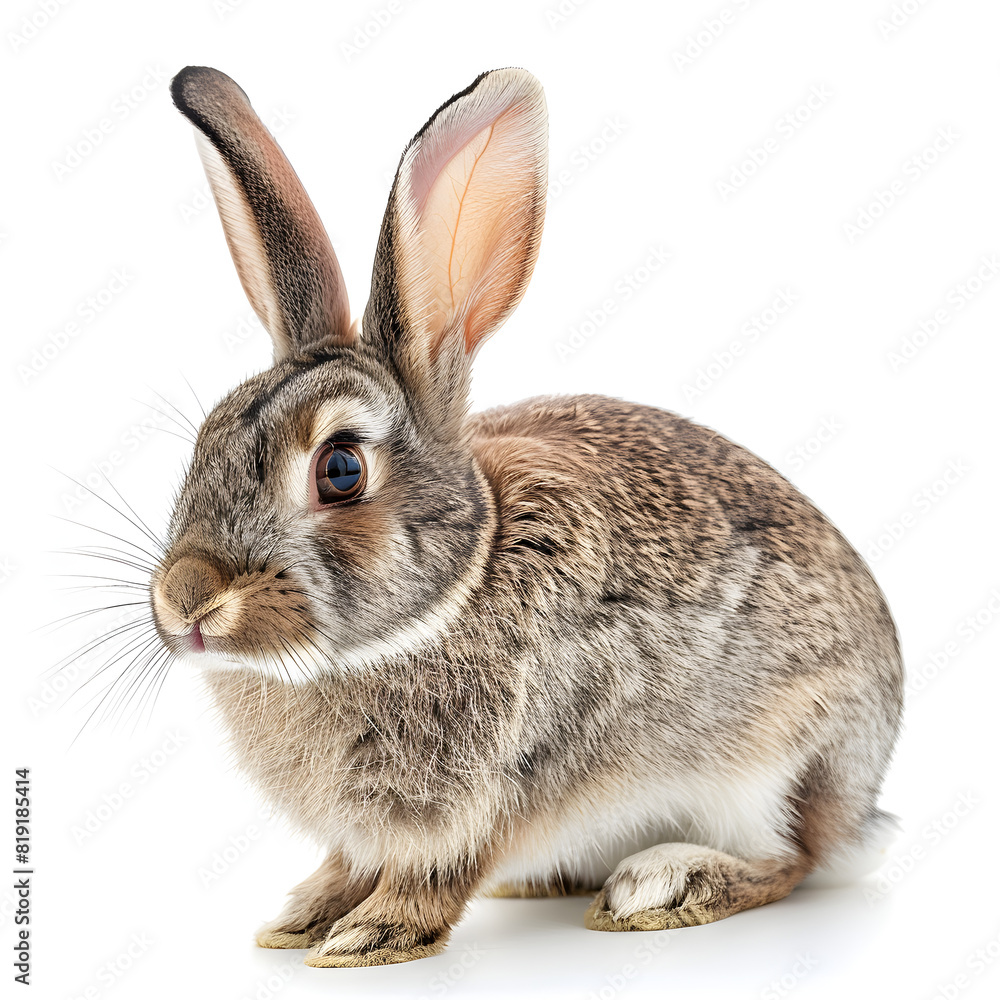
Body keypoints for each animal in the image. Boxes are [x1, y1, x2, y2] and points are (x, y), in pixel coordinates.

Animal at [154, 65, 904, 967]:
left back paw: (663, 883)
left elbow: (439, 872)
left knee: (789, 859)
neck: (449, 597)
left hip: (778, 765)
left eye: (340, 470)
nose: (187, 599)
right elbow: (347, 862)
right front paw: (302, 917)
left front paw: (369, 935)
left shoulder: (497, 786)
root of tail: (862, 807)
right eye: (205, 441)